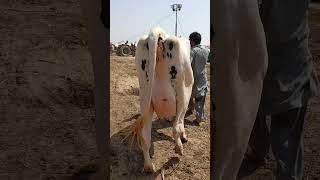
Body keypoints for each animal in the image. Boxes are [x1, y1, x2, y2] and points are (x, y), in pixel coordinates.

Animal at [123, 27, 194, 173]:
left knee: (145, 136)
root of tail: (159, 33)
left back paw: (149, 166)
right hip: (182, 94)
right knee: (176, 128)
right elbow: (181, 123)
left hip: (145, 97)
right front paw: (184, 137)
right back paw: (179, 149)